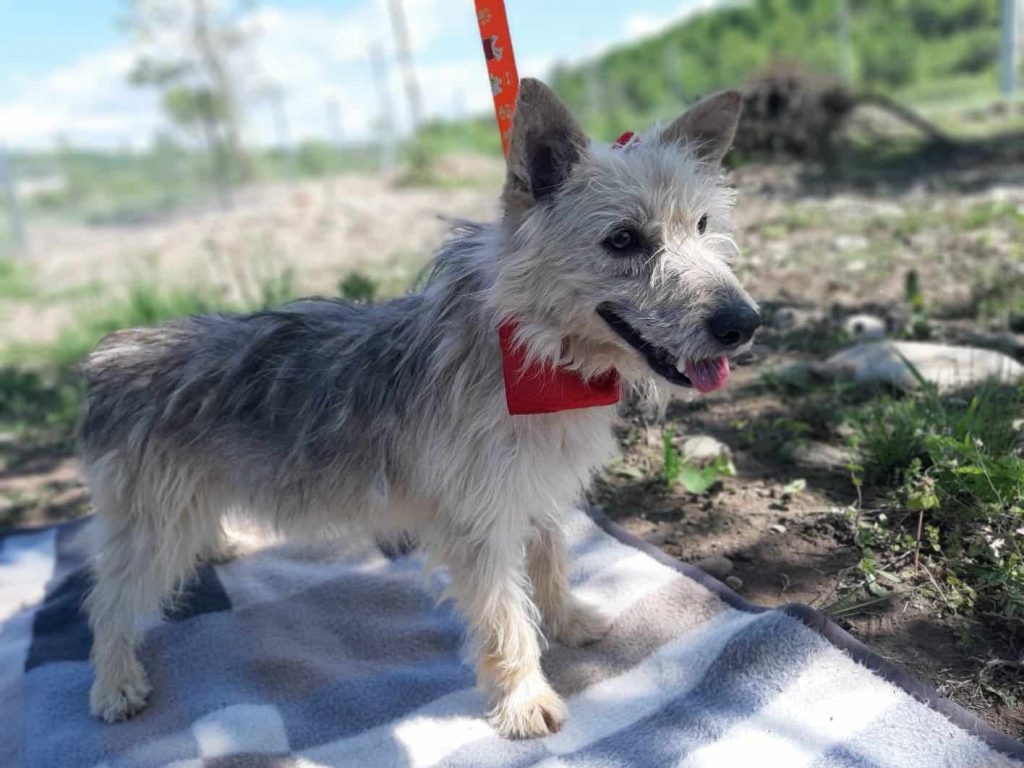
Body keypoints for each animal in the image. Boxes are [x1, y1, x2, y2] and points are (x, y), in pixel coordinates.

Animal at [81, 79, 761, 741]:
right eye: (622, 240)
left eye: (703, 225)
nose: (744, 323)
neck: (535, 355)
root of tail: (109, 356)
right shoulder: (478, 522)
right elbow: (504, 614)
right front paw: (524, 700)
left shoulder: (537, 491)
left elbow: (550, 560)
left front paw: (567, 620)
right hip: (154, 523)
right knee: (108, 603)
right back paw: (114, 684)